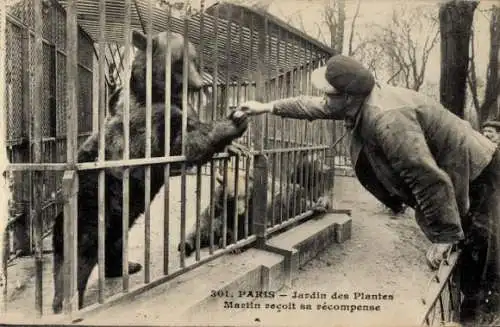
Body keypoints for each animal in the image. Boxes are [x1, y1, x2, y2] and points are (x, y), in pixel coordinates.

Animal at [51, 31, 250, 316]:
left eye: (195, 59)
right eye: (180, 61)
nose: (199, 85)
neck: (160, 94)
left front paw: (236, 145)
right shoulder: (150, 122)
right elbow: (185, 144)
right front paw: (234, 120)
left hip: (117, 217)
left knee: (114, 244)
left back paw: (128, 266)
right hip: (90, 207)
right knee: (76, 257)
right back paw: (66, 303)